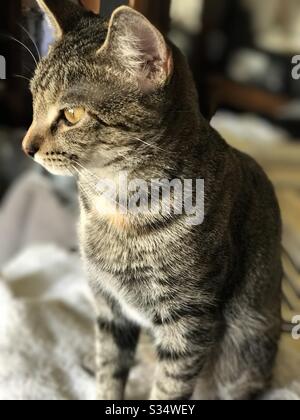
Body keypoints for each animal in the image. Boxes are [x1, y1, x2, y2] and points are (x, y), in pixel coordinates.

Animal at [22, 0, 282, 400]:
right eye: (34, 99)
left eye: (72, 114)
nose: (26, 147)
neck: (116, 205)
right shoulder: (109, 304)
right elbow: (110, 367)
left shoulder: (189, 318)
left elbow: (168, 385)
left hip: (247, 356)